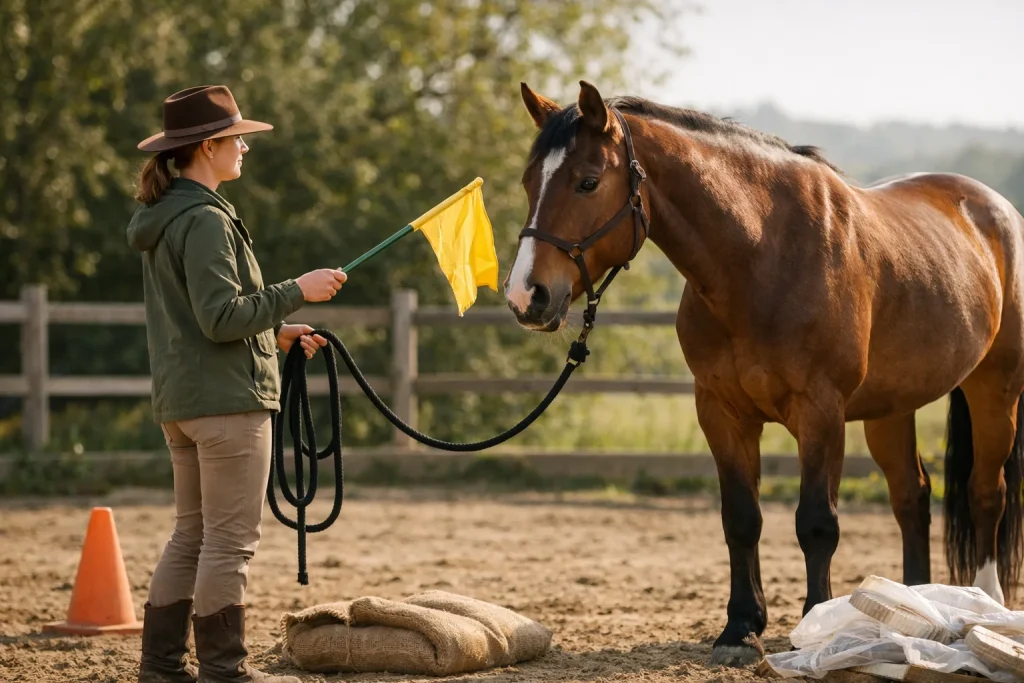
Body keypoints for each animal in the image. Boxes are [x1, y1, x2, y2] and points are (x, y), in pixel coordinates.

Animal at [503, 80, 1024, 666]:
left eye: (588, 182)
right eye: (529, 181)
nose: (525, 296)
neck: (761, 257)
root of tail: (995, 208)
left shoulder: (820, 412)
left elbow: (816, 523)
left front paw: (814, 625)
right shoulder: (721, 412)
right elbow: (741, 519)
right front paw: (739, 628)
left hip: (995, 389)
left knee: (987, 493)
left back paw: (987, 600)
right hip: (893, 407)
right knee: (911, 497)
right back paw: (913, 604)